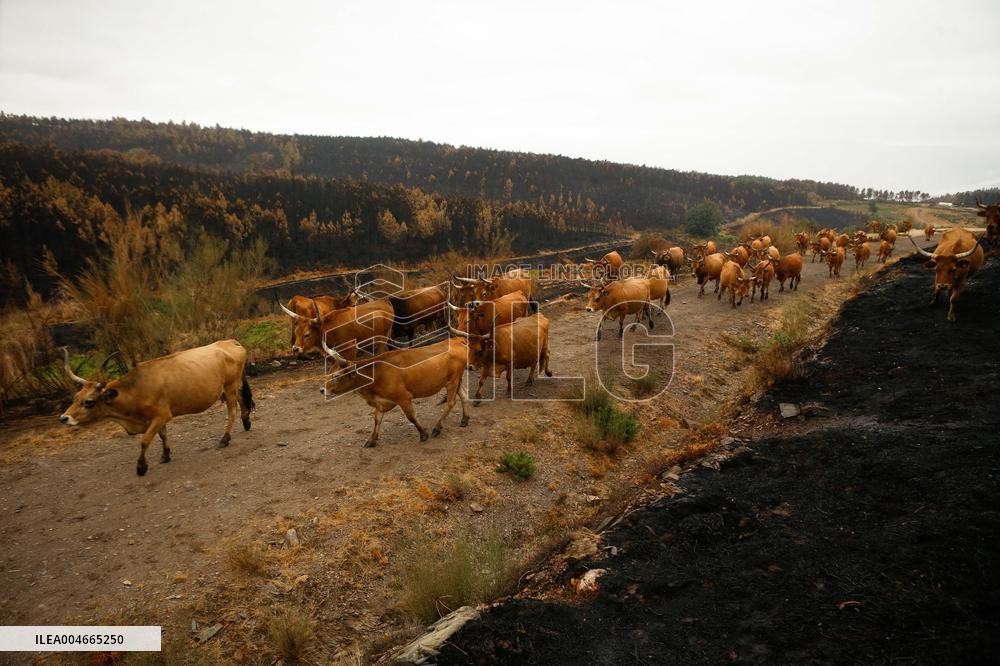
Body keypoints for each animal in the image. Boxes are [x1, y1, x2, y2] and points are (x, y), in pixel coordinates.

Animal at [59, 341, 254, 476]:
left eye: (89, 402)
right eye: (76, 398)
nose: (64, 418)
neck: (136, 389)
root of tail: (230, 342)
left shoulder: (161, 416)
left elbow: (145, 440)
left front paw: (141, 467)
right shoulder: (157, 418)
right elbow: (162, 435)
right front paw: (165, 455)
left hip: (229, 387)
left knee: (232, 411)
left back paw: (225, 439)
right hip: (232, 387)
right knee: (242, 401)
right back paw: (246, 422)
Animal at [319, 337, 470, 447]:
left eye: (336, 375)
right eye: (329, 372)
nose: (322, 390)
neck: (376, 373)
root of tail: (457, 340)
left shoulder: (404, 398)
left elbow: (411, 417)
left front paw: (423, 434)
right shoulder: (381, 402)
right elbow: (377, 419)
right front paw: (371, 440)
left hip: (452, 381)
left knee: (451, 402)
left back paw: (437, 428)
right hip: (458, 379)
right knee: (464, 396)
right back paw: (465, 419)